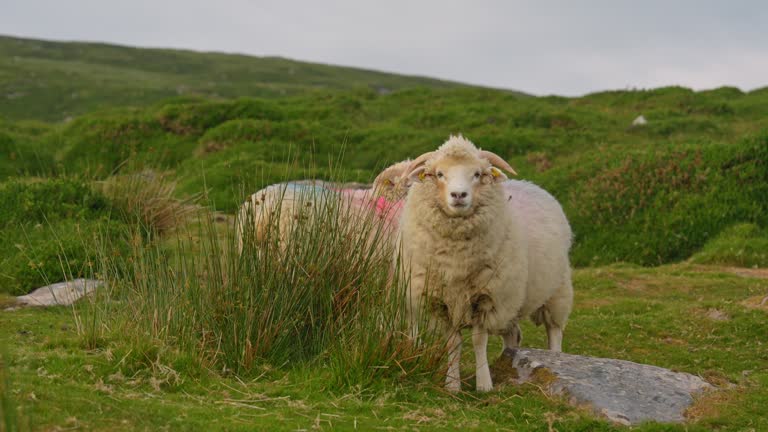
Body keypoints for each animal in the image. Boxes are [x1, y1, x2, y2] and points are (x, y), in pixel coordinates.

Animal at [400, 134, 572, 392]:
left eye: (477, 174)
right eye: (439, 174)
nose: (459, 195)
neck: (456, 257)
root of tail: (531, 185)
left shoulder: (485, 298)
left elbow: (478, 340)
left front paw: (484, 385)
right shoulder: (443, 301)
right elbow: (453, 343)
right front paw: (452, 385)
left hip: (556, 291)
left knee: (554, 331)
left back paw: (556, 360)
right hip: (512, 298)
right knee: (513, 335)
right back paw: (508, 361)